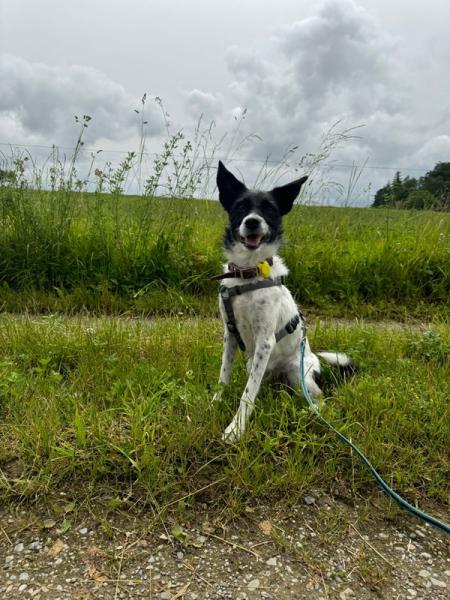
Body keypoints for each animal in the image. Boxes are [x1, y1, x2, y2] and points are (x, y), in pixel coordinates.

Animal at [214, 161, 353, 442]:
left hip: (301, 376)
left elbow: (248, 393)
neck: (248, 274)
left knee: (320, 402)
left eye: (269, 209)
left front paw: (236, 428)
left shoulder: (265, 340)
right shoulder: (230, 333)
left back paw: (305, 412)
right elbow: (224, 374)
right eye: (241, 207)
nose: (252, 222)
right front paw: (216, 400)